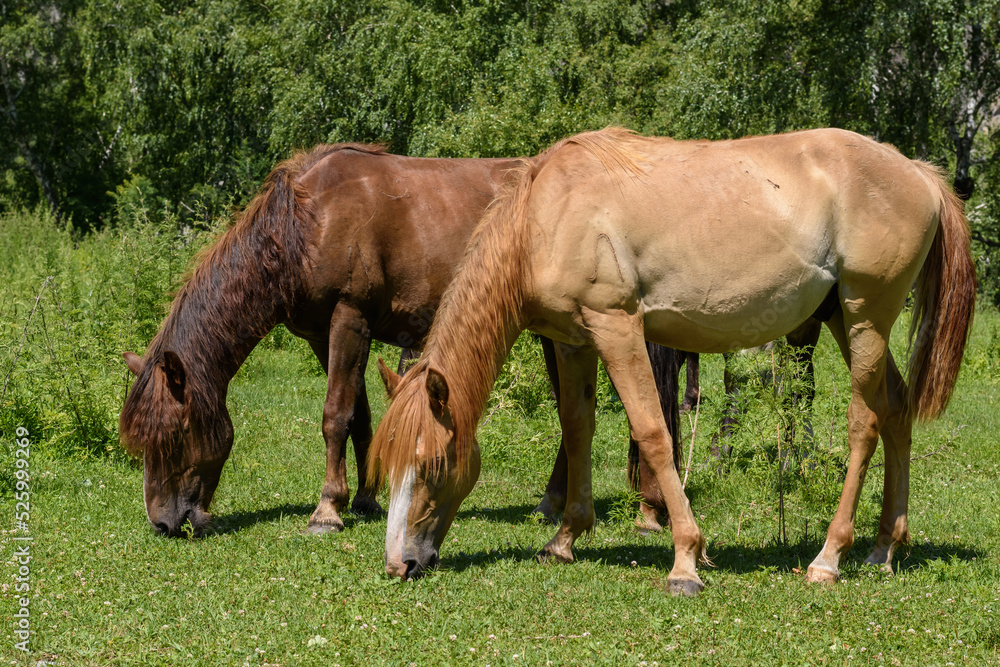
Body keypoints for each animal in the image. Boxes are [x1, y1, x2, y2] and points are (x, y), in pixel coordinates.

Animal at [119, 145, 680, 536]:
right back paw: (554, 505)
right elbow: (359, 415)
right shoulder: (326, 334)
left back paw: (646, 511)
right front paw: (365, 498)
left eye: (175, 433)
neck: (305, 225)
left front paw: (326, 510)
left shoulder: (349, 317)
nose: (163, 522)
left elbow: (334, 414)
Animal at [370, 126, 976, 596]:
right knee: (896, 410)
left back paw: (829, 557)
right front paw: (565, 539)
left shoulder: (617, 328)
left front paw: (685, 559)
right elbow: (577, 427)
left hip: (864, 318)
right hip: (844, 321)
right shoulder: (573, 341)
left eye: (431, 464)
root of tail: (917, 172)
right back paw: (883, 548)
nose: (400, 564)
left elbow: (653, 432)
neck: (548, 215)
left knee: (865, 422)